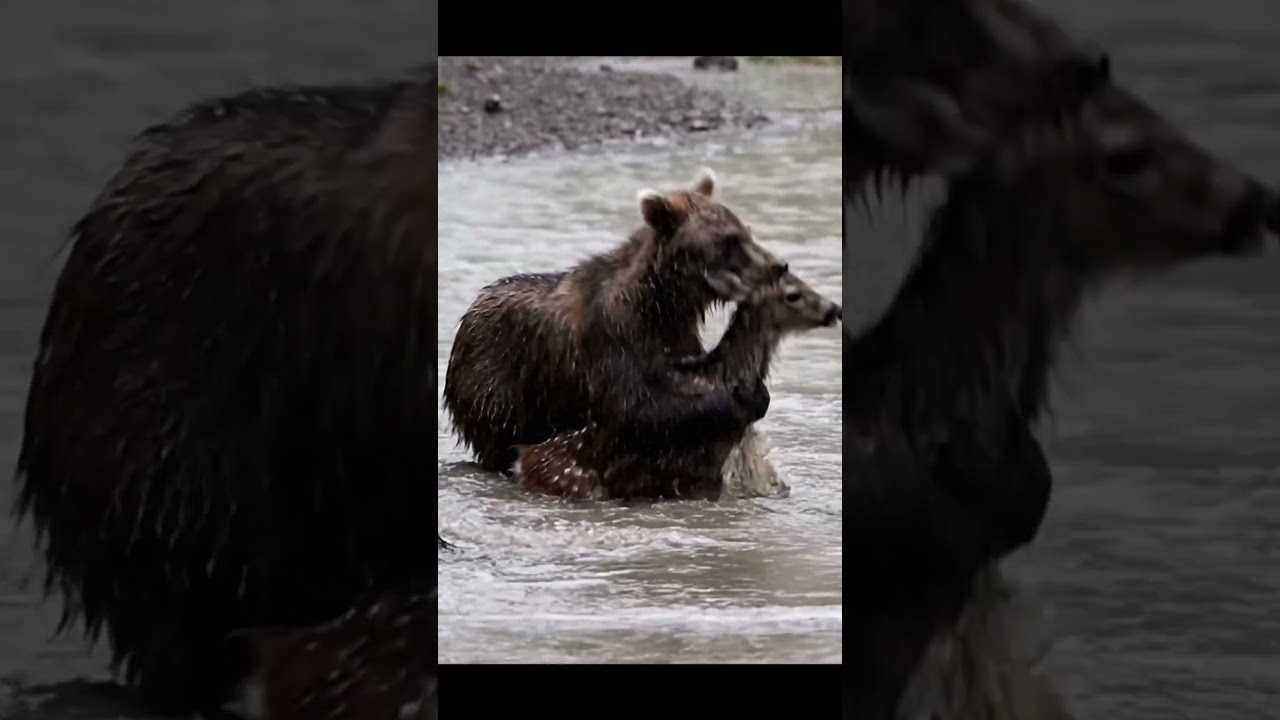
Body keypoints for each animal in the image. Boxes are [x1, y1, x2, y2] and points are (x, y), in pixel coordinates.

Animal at [442, 168, 789, 475]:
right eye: (729, 241)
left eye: (746, 231)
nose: (778, 264)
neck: (662, 304)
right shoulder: (611, 339)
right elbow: (636, 409)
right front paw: (742, 399)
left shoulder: (678, 338)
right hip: (495, 379)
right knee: (497, 438)